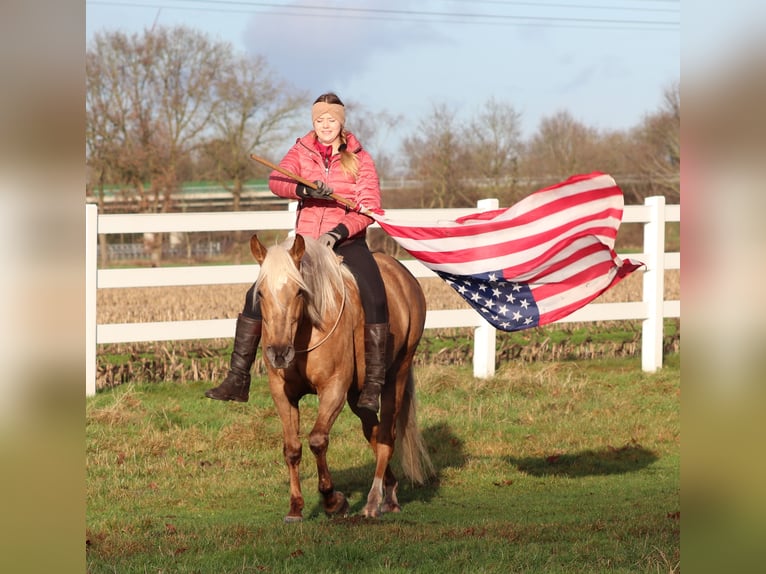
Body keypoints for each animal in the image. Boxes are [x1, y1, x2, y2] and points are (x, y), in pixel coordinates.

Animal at [250, 233, 436, 520]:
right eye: (260, 293)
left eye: (299, 291)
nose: (279, 353)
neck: (305, 331)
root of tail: (404, 274)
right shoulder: (282, 393)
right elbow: (292, 448)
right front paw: (295, 507)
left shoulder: (334, 387)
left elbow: (317, 440)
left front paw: (333, 501)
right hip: (358, 394)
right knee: (373, 431)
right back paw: (389, 490)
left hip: (397, 375)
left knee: (386, 435)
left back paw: (374, 501)